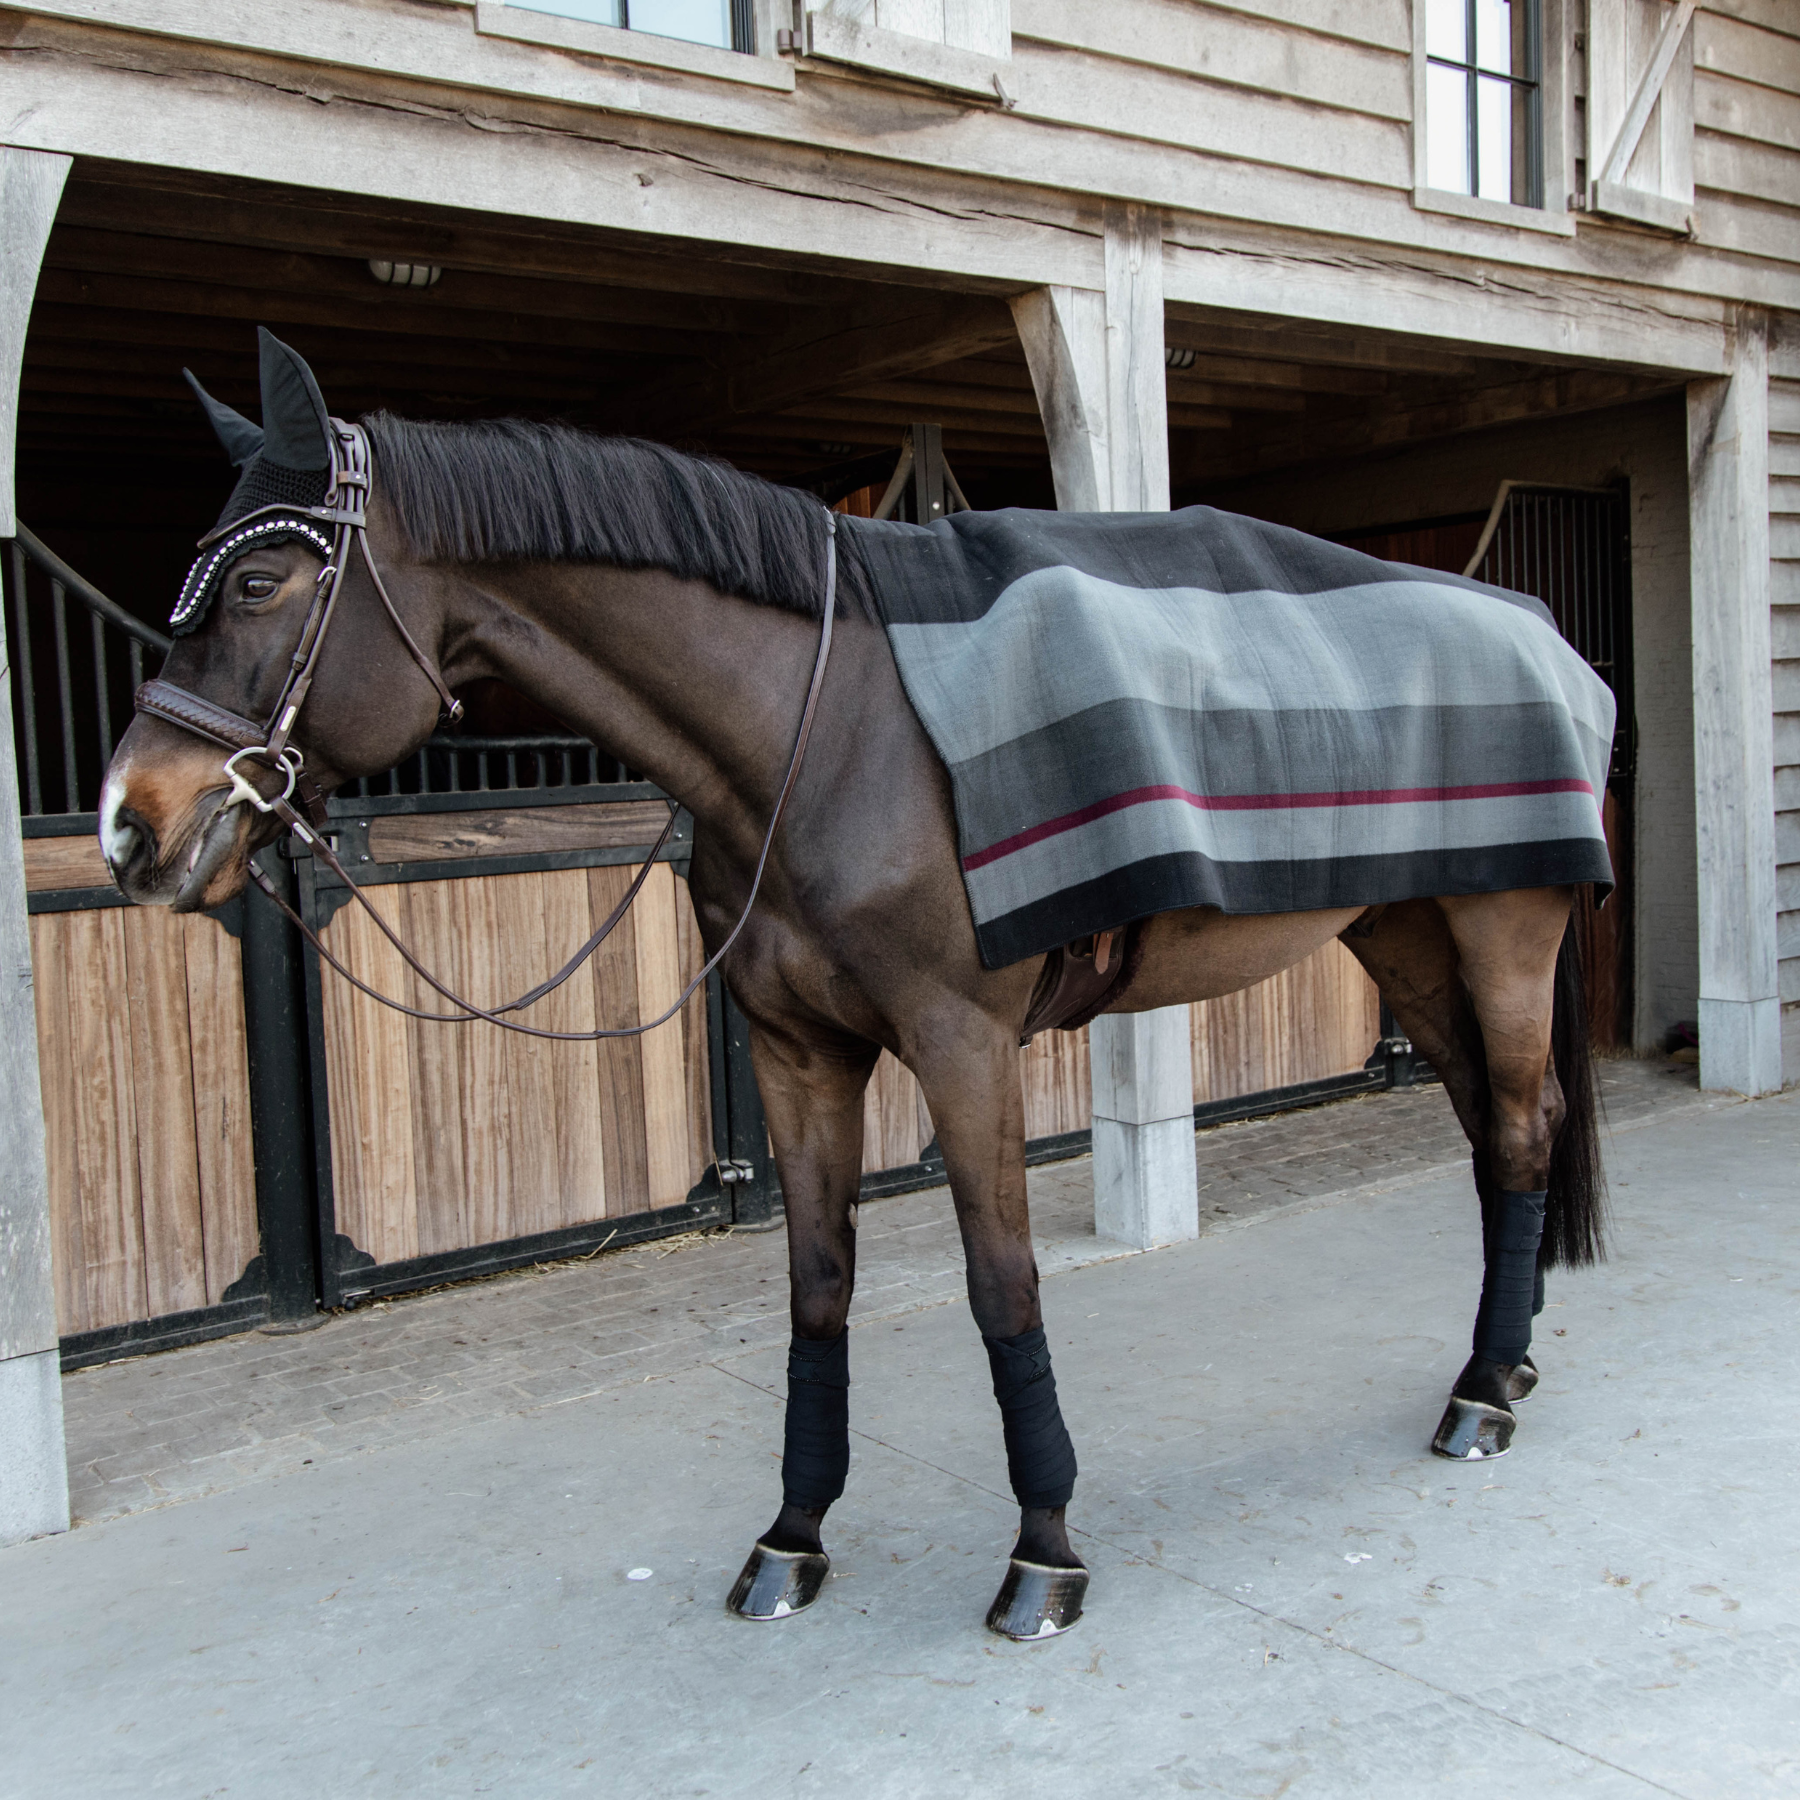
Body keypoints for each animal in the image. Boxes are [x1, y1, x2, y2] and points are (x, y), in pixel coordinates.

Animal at [98, 334, 1605, 1648]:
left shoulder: (961, 1044)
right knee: (1492, 1136)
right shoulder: (796, 1051)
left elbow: (1003, 1283)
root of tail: (1549, 638)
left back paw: (1481, 1397)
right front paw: (792, 1536)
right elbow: (817, 1286)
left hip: (1503, 937)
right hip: (1406, 937)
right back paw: (1505, 1360)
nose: (128, 825)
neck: (824, 733)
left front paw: (1043, 1549)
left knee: (1524, 1130)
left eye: (261, 581)